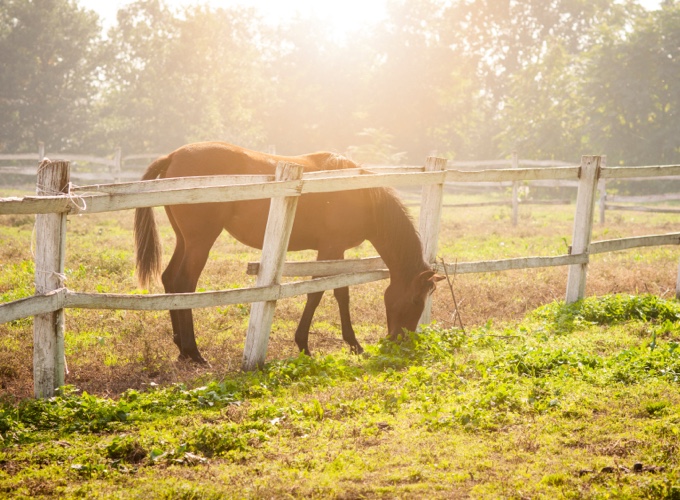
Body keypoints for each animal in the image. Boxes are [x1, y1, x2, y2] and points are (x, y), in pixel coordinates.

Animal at [134, 141, 443, 364]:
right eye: (415, 300)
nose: (400, 342)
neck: (359, 196)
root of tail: (173, 155)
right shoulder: (330, 248)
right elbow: (318, 293)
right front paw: (305, 346)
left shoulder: (337, 250)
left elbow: (341, 293)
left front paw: (354, 345)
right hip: (200, 242)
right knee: (184, 283)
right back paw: (194, 351)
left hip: (185, 241)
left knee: (170, 280)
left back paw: (182, 349)